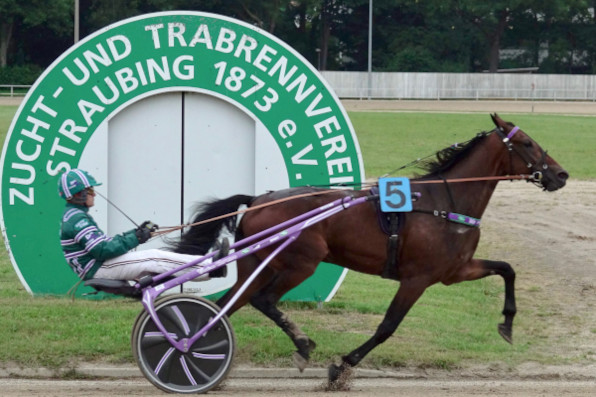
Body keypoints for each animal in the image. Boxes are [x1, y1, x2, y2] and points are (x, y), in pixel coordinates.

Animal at [169, 113, 568, 382]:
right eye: (527, 143)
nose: (561, 175)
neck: (444, 202)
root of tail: (257, 200)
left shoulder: (455, 271)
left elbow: (507, 269)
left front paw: (508, 325)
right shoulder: (417, 278)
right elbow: (388, 326)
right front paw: (342, 365)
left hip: (257, 263)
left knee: (228, 304)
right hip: (301, 261)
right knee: (263, 300)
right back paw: (302, 346)